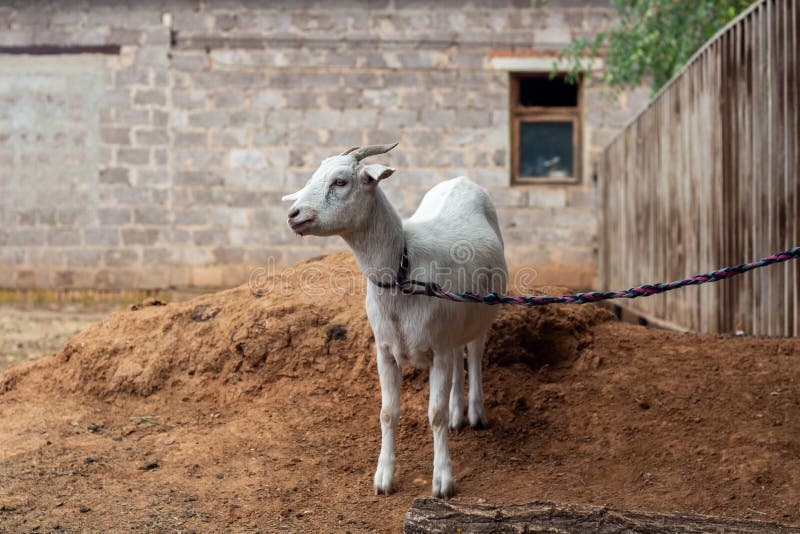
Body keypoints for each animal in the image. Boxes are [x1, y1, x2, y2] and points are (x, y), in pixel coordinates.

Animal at [282, 142, 506, 498]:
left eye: (340, 181)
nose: (294, 215)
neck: (404, 266)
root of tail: (461, 180)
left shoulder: (437, 350)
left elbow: (435, 414)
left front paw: (443, 480)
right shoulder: (385, 350)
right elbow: (387, 413)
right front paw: (384, 477)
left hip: (482, 310)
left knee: (474, 353)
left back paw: (475, 412)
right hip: (453, 322)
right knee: (460, 357)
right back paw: (458, 414)